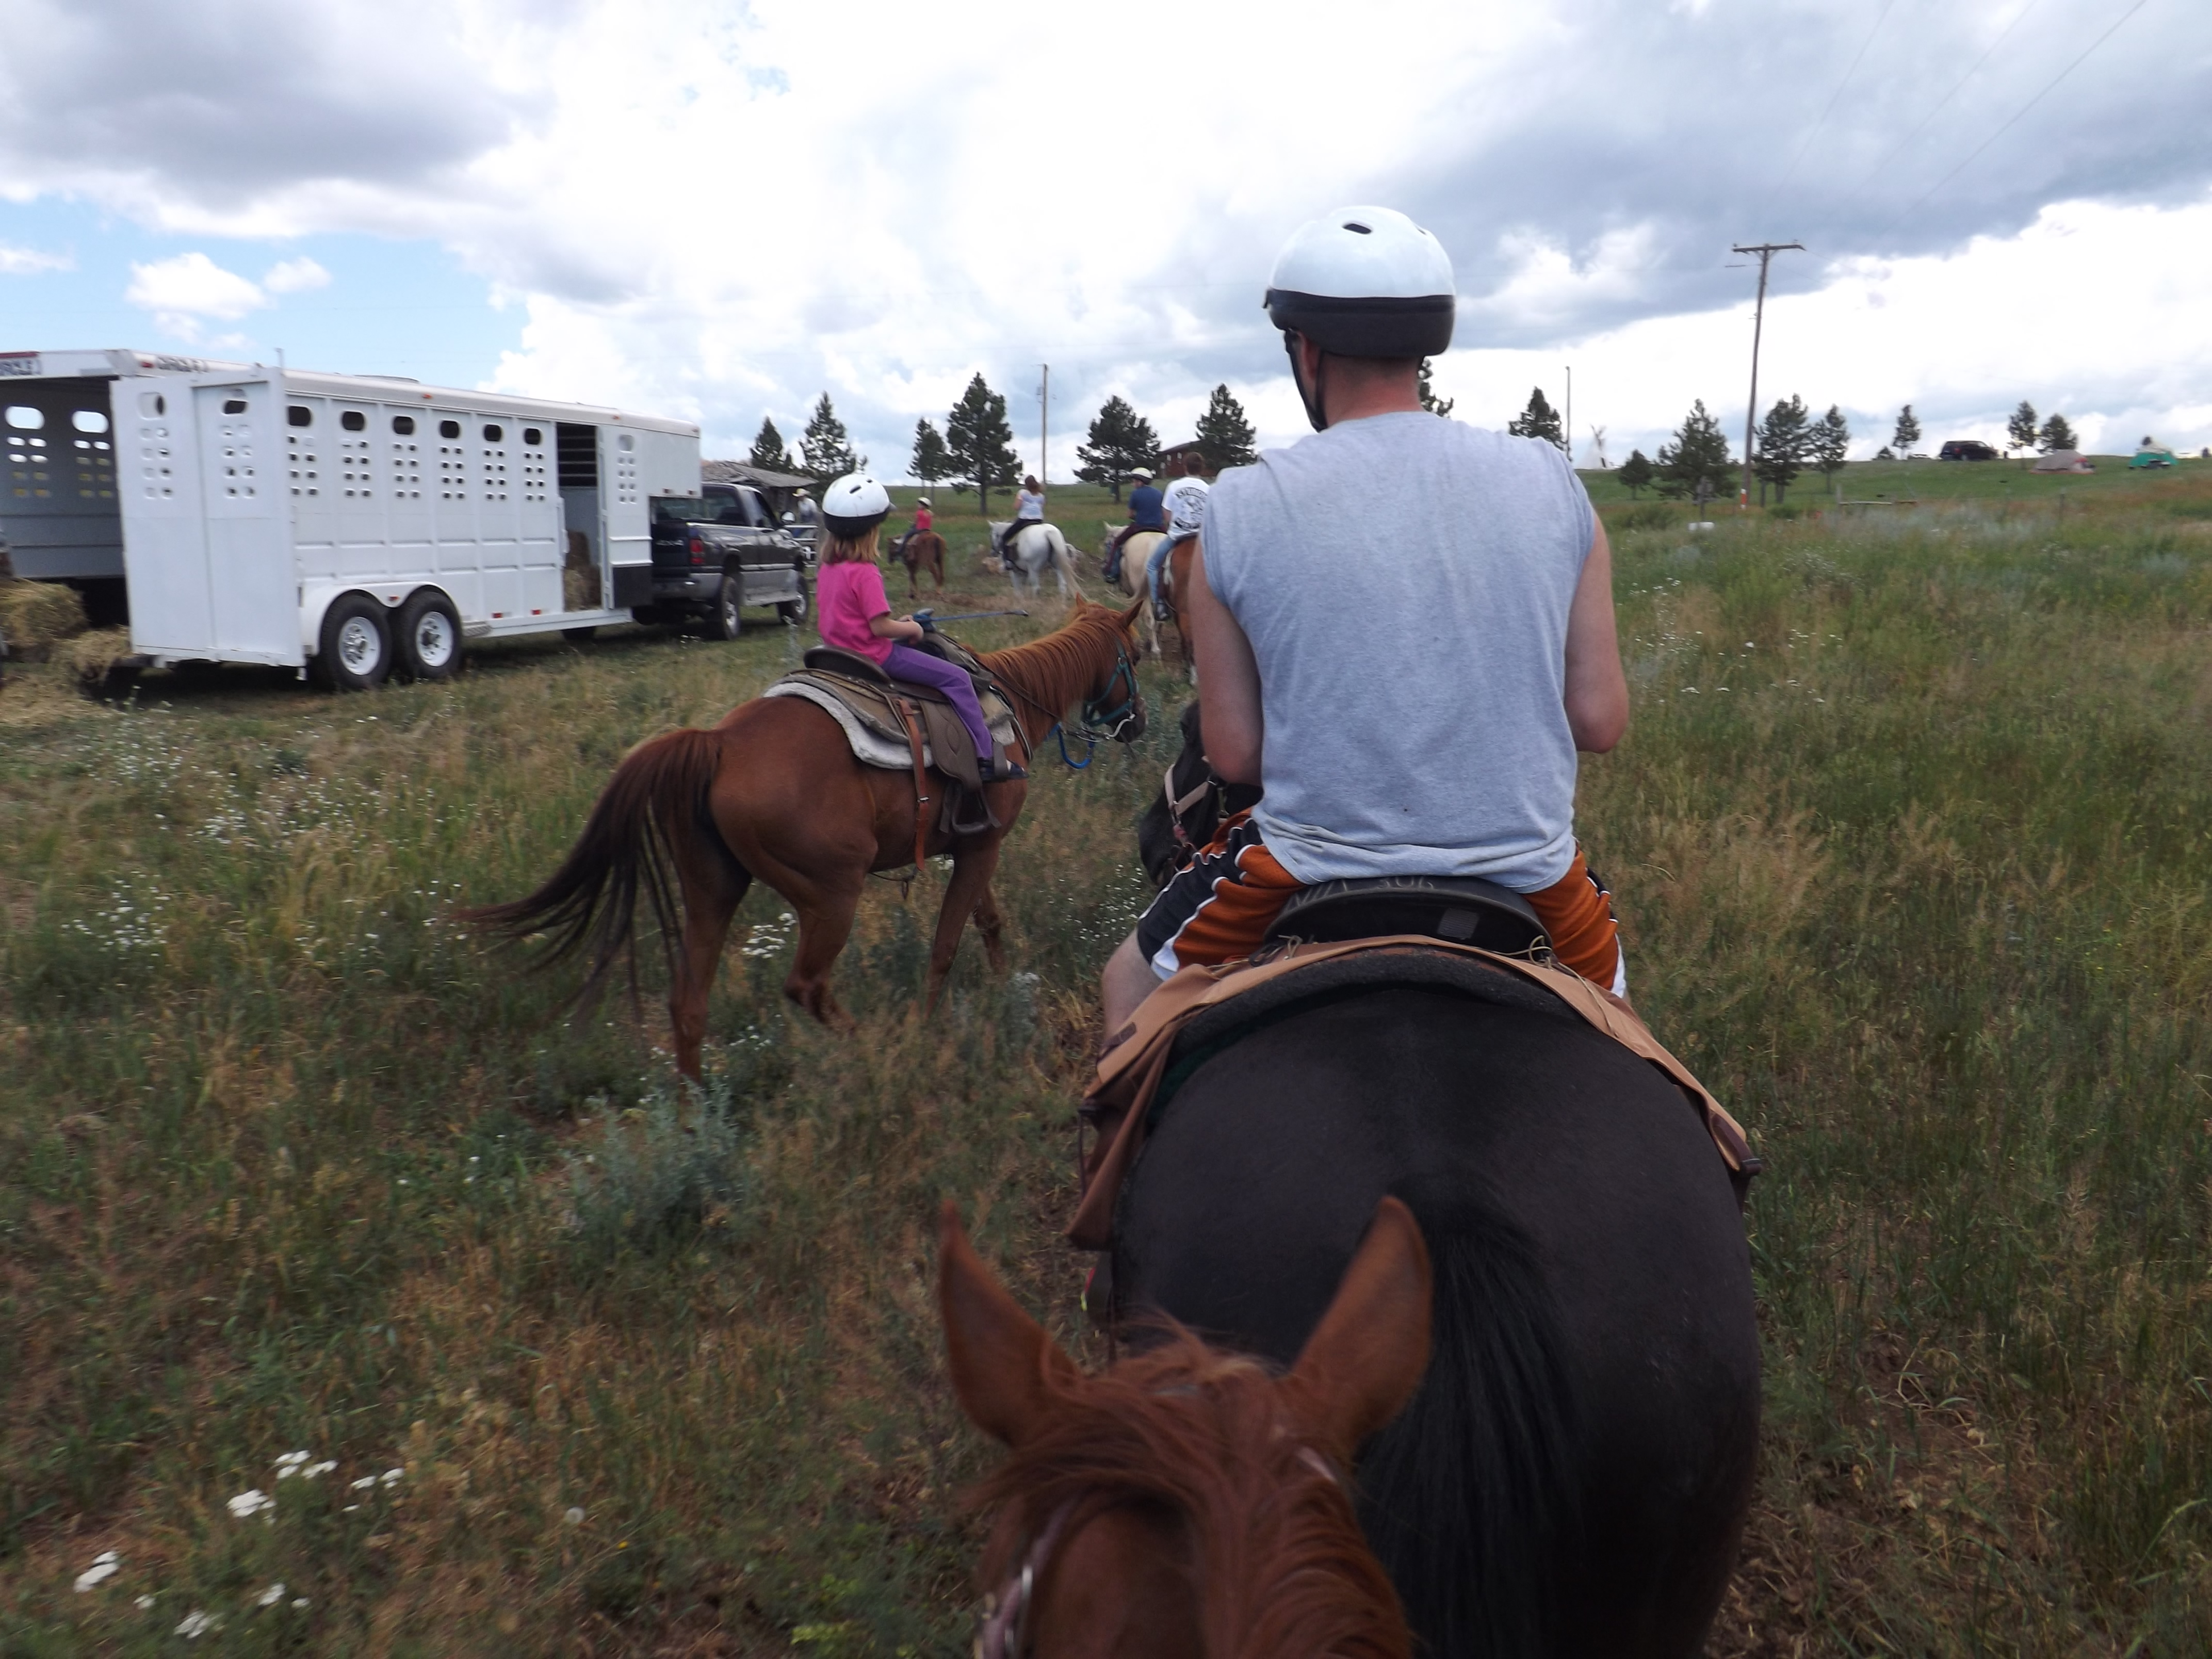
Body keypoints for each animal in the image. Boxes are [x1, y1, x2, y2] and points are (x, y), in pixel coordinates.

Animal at [468, 598, 1147, 1071]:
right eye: (1136, 657)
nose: (1137, 726)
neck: (1006, 702)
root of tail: (718, 743)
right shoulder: (983, 846)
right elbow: (946, 946)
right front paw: (928, 1026)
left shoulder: (972, 846)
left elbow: (988, 922)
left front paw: (1005, 987)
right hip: (830, 897)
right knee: (806, 986)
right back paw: (872, 1046)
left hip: (712, 892)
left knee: (688, 1004)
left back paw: (695, 1119)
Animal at [891, 528, 946, 599]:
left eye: (890, 546)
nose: (890, 560)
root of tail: (936, 538)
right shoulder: (914, 566)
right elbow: (912, 578)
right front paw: (912, 594)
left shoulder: (910, 566)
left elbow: (912, 578)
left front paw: (915, 595)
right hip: (941, 561)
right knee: (941, 575)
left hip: (930, 563)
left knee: (936, 575)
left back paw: (938, 592)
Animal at [988, 521, 1083, 601]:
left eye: (992, 536)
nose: (992, 552)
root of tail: (1048, 532)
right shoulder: (1024, 572)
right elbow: (1023, 588)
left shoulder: (1014, 572)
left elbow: (1018, 590)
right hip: (1058, 566)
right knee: (1062, 586)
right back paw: (1062, 605)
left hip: (1034, 570)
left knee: (1036, 588)